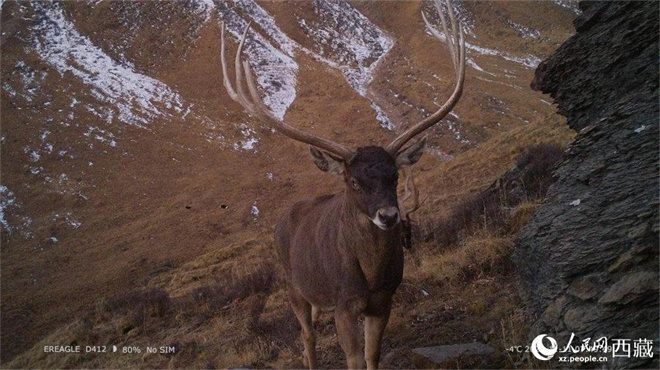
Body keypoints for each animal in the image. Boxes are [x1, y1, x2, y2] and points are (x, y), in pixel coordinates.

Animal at [220, 1, 464, 368]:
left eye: (394, 174)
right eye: (352, 180)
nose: (388, 216)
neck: (370, 277)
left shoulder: (384, 300)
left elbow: (372, 356)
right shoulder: (344, 302)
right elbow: (353, 359)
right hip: (293, 284)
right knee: (306, 335)